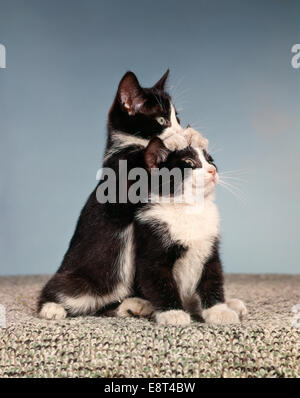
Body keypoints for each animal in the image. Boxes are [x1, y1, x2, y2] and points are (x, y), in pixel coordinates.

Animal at [116, 138, 247, 324]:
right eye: (189, 162)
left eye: (211, 161)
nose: (213, 170)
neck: (189, 210)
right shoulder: (152, 246)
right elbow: (160, 281)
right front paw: (172, 313)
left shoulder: (210, 249)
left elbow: (213, 277)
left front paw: (219, 310)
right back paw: (137, 306)